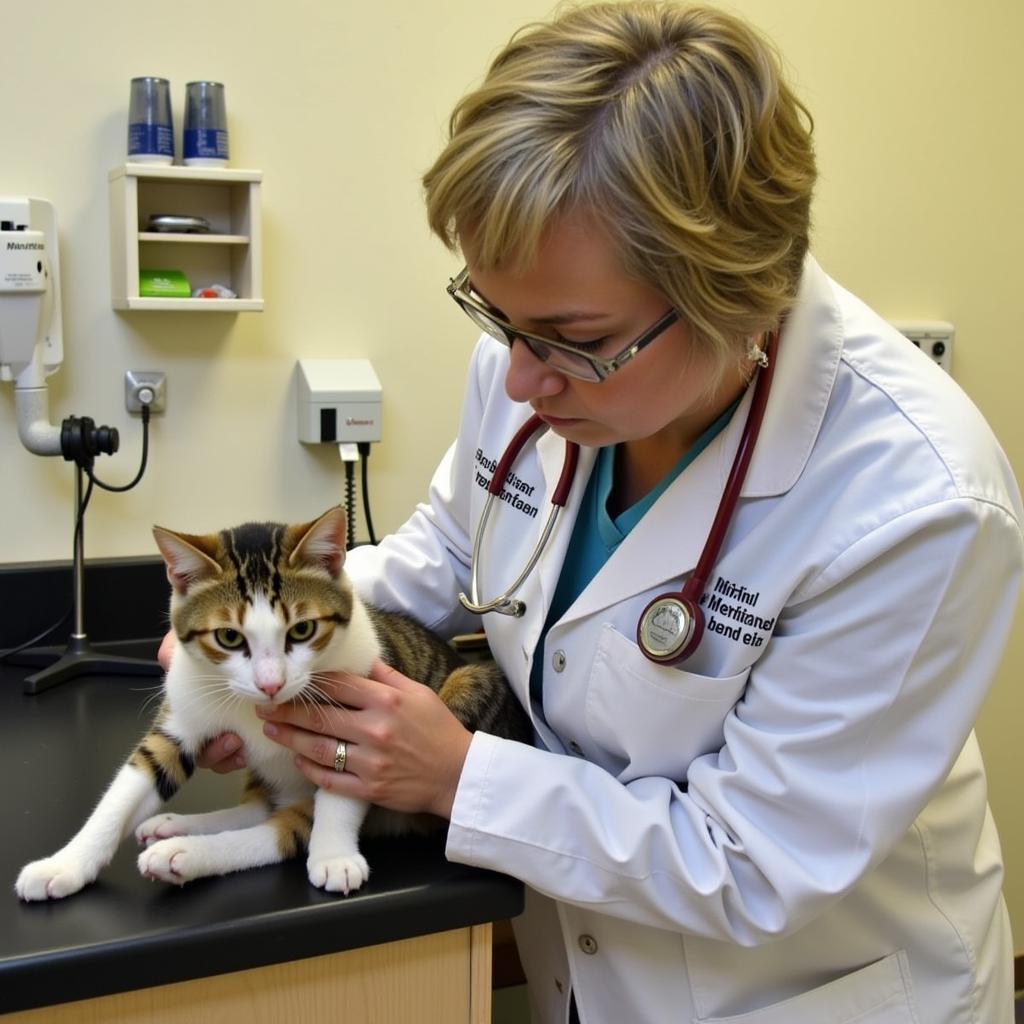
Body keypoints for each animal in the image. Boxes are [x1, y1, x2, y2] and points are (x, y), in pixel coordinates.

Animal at [16, 507, 532, 901]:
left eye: (302, 630)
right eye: (228, 637)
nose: (270, 684)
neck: (254, 710)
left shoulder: (366, 719)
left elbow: (337, 794)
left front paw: (334, 854)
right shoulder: (182, 713)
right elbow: (125, 790)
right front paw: (65, 864)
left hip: (469, 682)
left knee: (284, 826)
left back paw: (182, 853)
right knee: (265, 809)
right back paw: (175, 828)